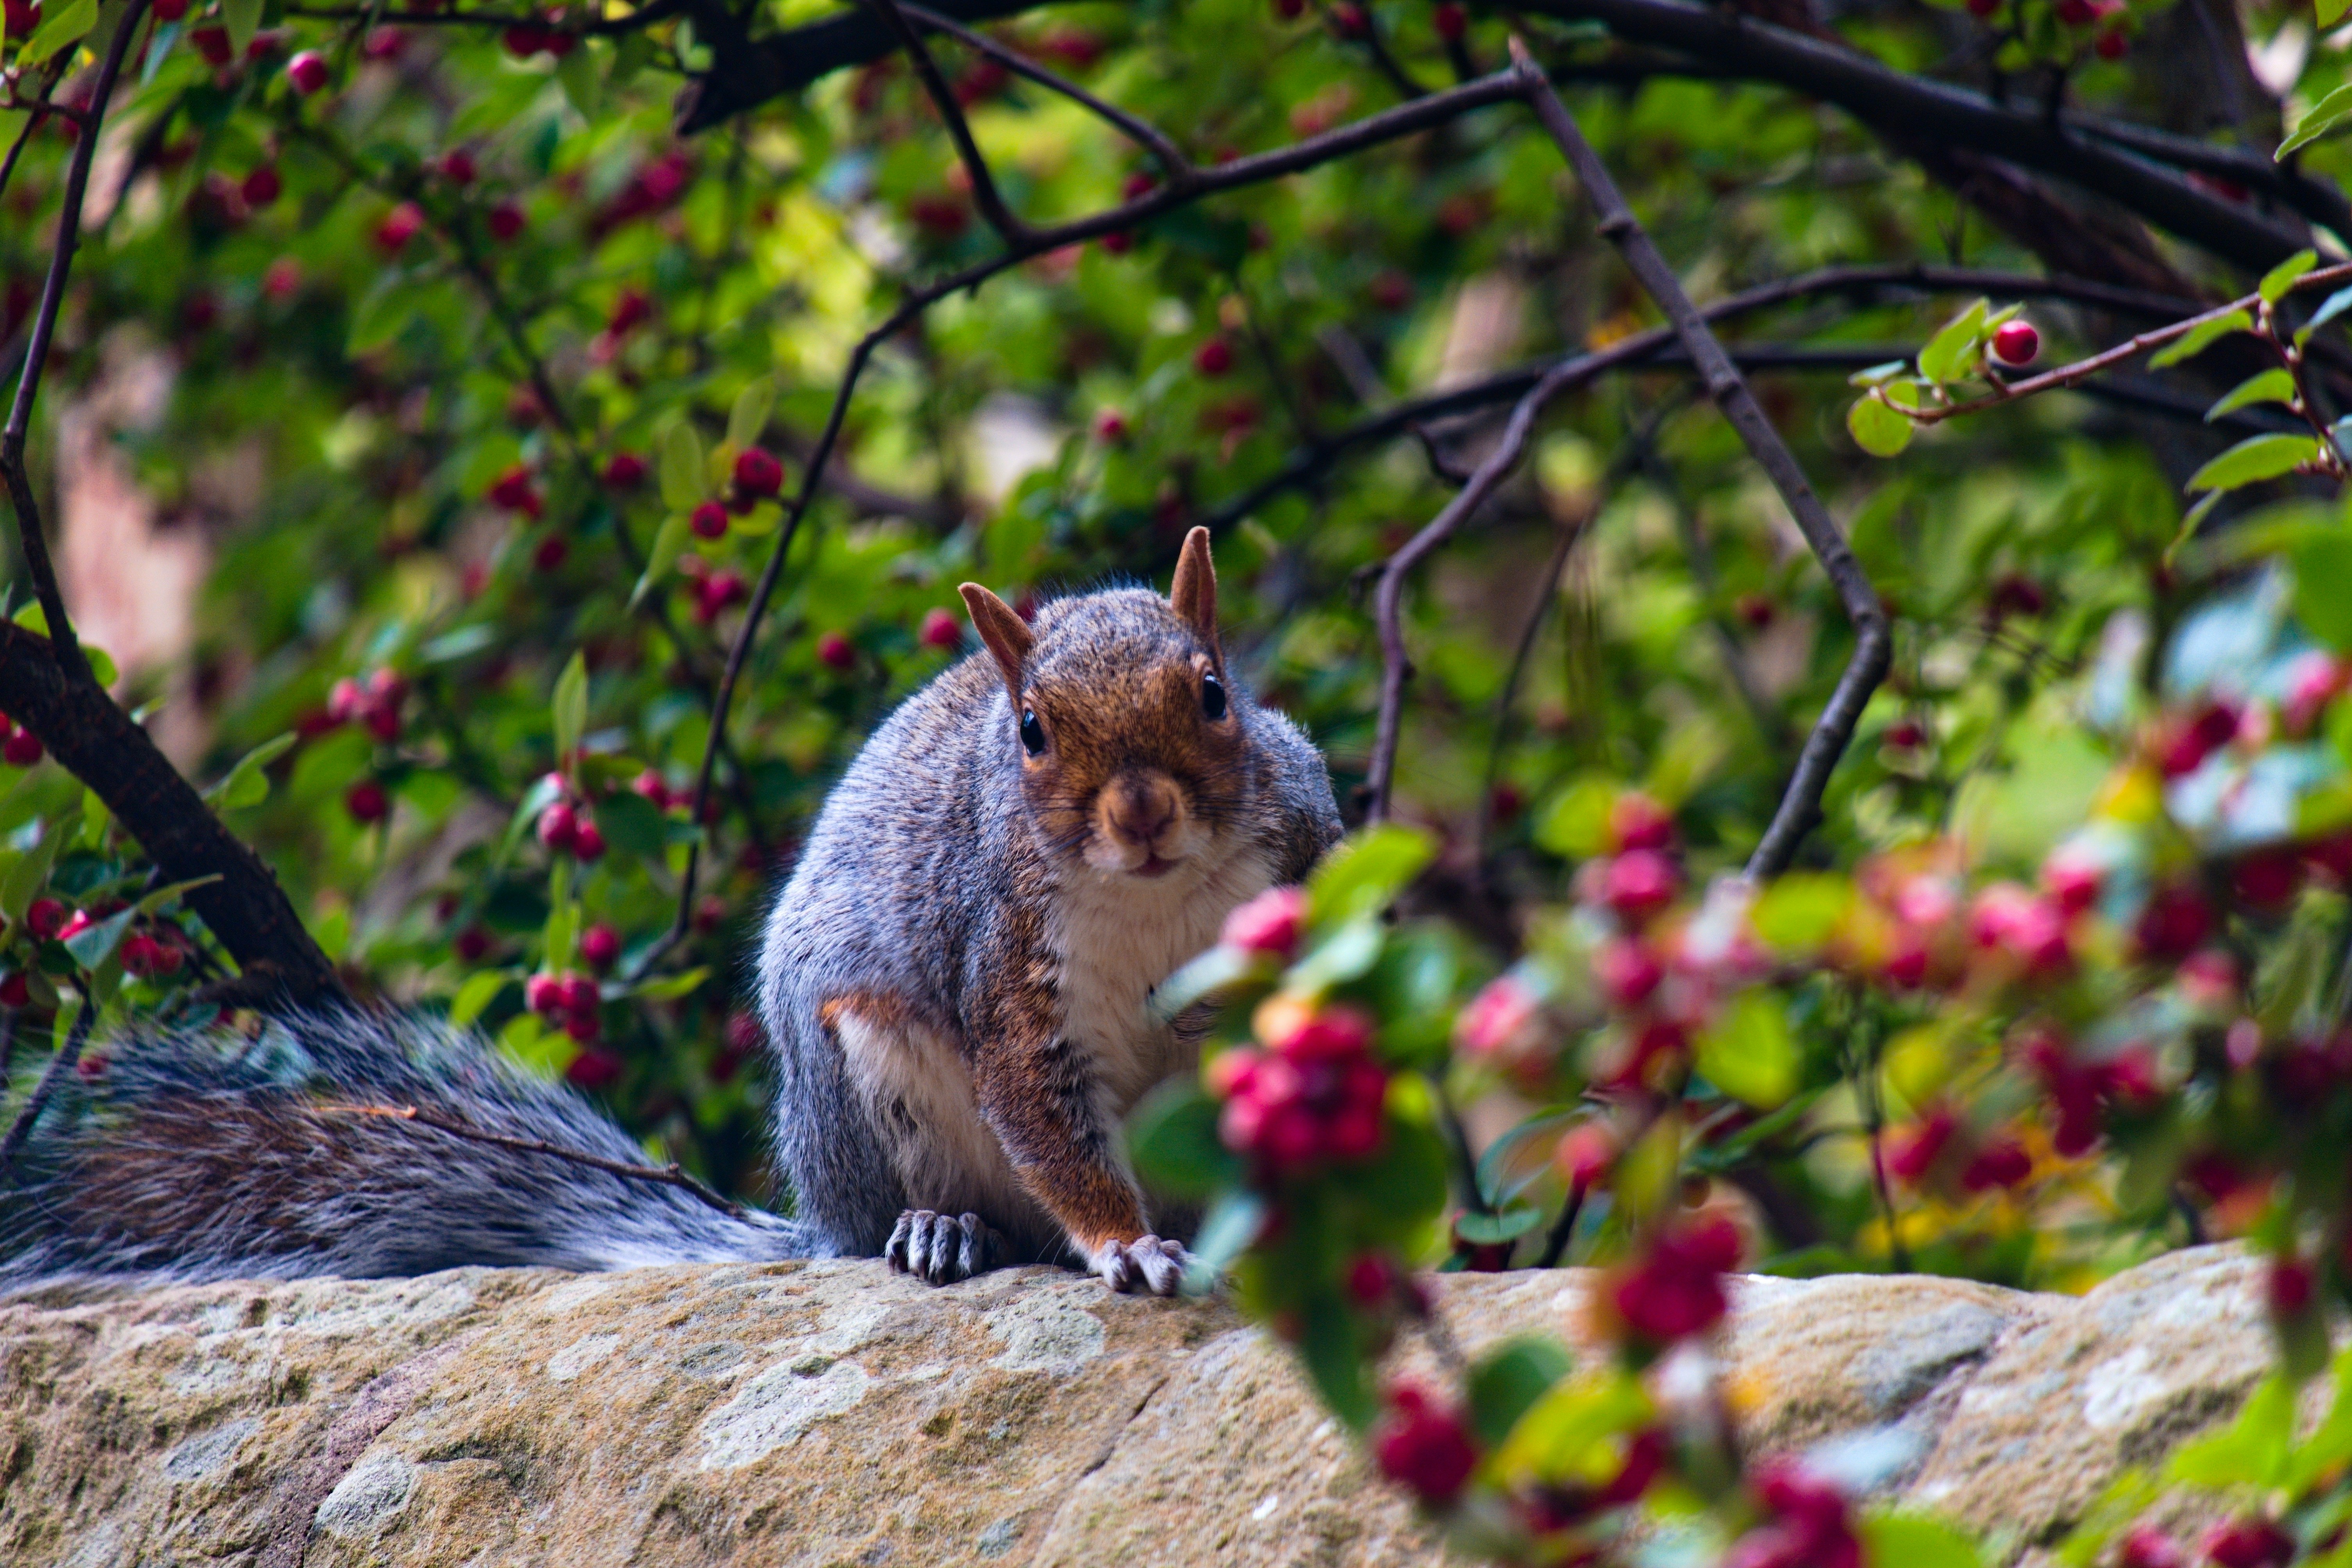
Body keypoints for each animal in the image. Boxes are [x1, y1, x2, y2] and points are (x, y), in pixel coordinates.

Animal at [0, 528, 1342, 1298]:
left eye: (1213, 693)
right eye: (1030, 733)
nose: (1143, 811)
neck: (1153, 896)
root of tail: (813, 1217)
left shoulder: (1304, 863)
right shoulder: (1005, 971)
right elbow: (1052, 1129)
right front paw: (1126, 1243)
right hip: (866, 1071)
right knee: (943, 1211)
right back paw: (940, 1232)